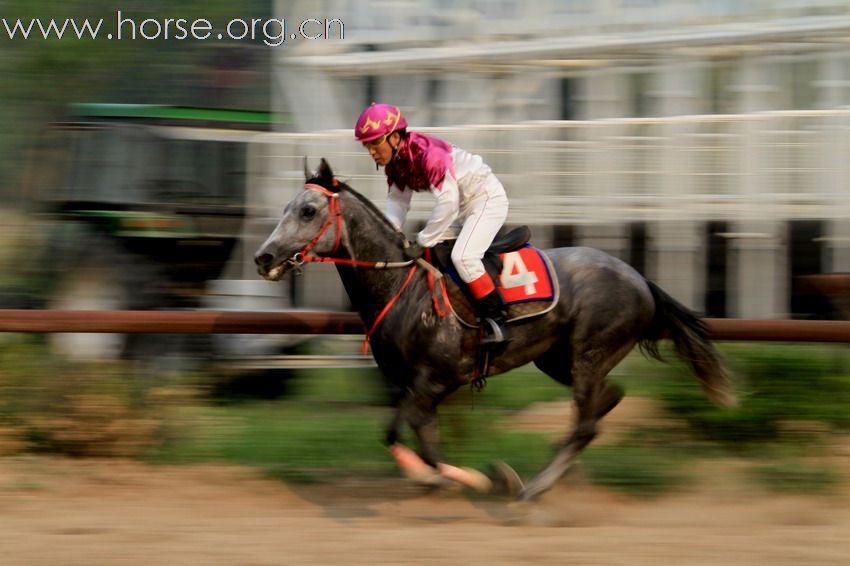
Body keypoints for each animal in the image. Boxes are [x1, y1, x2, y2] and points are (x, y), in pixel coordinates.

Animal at [255, 160, 732, 502]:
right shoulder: (412, 386)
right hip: (558, 359)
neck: (402, 286)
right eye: (285, 209)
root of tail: (640, 279)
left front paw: (485, 479)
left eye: (308, 210)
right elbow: (411, 438)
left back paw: (533, 489)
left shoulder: (435, 381)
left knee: (585, 424)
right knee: (604, 402)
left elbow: (413, 439)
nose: (263, 257)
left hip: (590, 353)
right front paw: (444, 479)